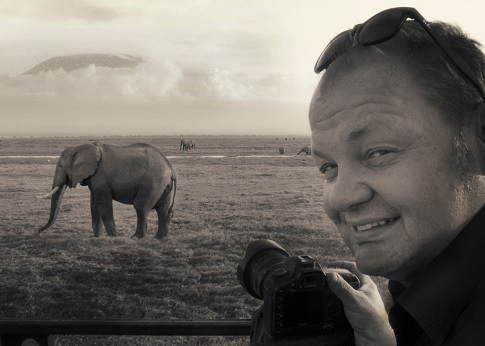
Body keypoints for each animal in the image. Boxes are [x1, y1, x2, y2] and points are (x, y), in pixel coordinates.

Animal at [36, 142, 176, 239]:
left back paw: (136, 237)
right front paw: (96, 237)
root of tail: (171, 169)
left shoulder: (100, 177)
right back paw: (159, 238)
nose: (39, 231)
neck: (80, 147)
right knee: (163, 210)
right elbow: (94, 205)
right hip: (163, 185)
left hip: (153, 182)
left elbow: (102, 204)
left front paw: (113, 236)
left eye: (60, 165)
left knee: (141, 207)